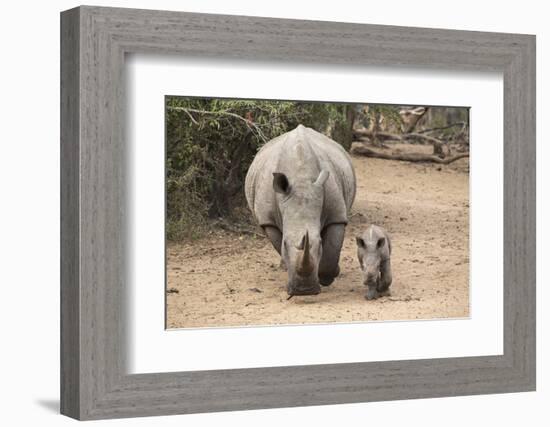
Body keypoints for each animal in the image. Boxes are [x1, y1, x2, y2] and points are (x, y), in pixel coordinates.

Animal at [246, 125, 358, 296]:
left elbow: (332, 248)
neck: (301, 180)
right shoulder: (268, 220)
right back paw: (283, 267)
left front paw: (326, 277)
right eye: (285, 244)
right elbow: (278, 243)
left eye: (319, 243)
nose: (304, 291)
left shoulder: (337, 214)